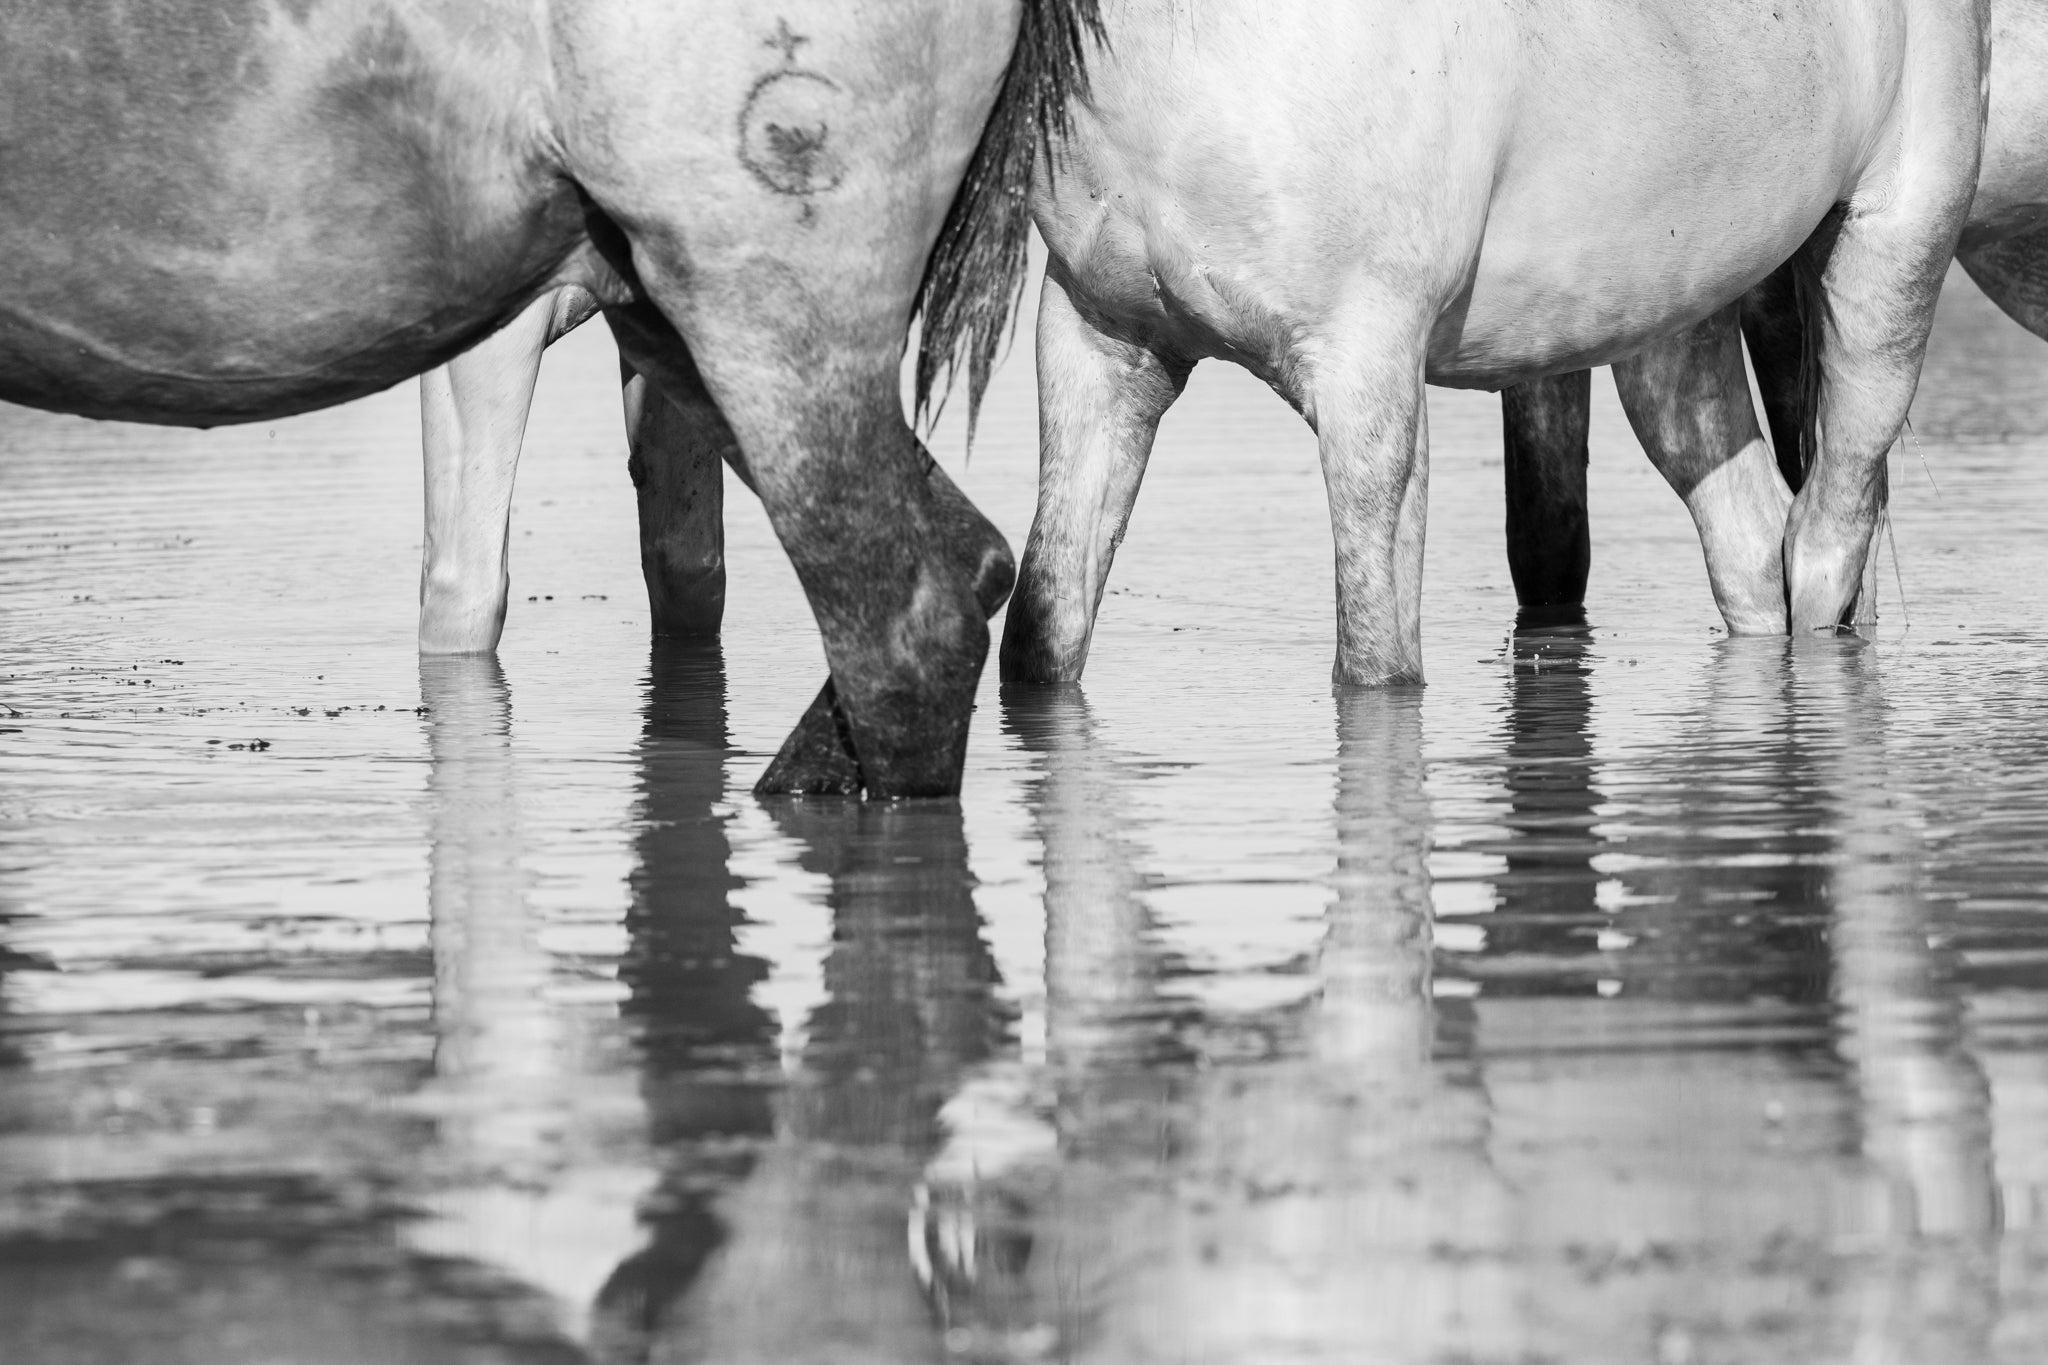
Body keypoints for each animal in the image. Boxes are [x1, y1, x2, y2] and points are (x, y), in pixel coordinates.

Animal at [991, 0, 1982, 683]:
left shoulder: (1364, 363)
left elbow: (1373, 659)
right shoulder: (1099, 342)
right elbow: (1041, 632)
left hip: (1891, 259)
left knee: (1825, 540)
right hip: (1675, 322)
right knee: (1748, 541)